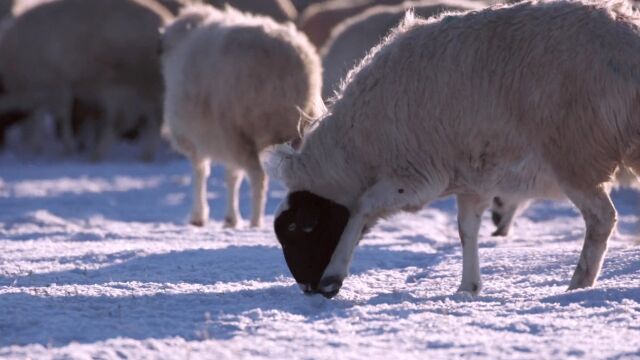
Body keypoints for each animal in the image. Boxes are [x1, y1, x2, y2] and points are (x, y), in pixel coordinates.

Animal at [0, 0, 172, 159]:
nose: (3, 145)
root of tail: (162, 21)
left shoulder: (56, 85)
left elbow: (61, 116)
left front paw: (66, 148)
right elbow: (37, 117)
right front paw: (36, 147)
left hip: (135, 84)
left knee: (140, 119)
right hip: (141, 86)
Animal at [160, 4, 320, 228]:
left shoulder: (199, 135)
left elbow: (201, 172)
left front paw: (199, 216)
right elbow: (232, 175)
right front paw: (230, 219)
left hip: (240, 129)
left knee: (257, 176)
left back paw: (255, 222)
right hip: (286, 132)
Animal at [268, 0, 640, 298]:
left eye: (296, 230)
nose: (306, 288)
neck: (358, 151)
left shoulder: (417, 174)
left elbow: (363, 207)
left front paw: (333, 276)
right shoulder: (472, 179)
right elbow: (466, 230)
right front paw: (468, 287)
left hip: (575, 152)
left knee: (602, 219)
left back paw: (579, 284)